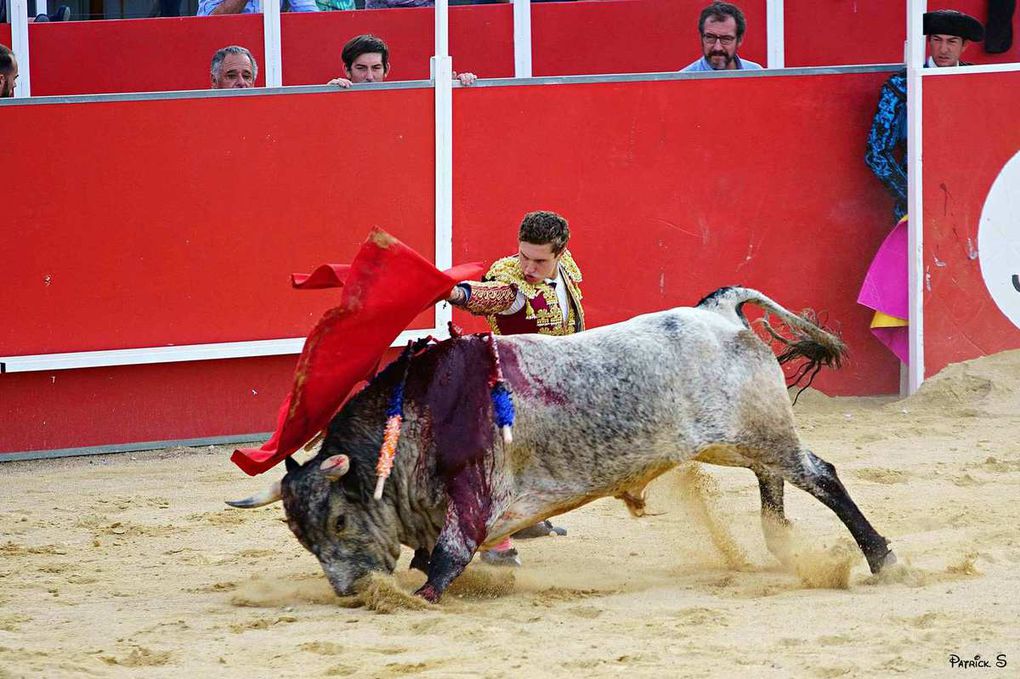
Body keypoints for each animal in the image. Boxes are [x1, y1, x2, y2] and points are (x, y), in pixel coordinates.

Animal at [229, 283, 893, 599]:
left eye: (340, 521)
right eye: (301, 534)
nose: (350, 593)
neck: (412, 417)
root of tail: (718, 311)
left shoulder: (472, 498)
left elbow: (442, 565)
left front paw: (417, 597)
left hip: (759, 432)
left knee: (821, 475)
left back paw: (882, 558)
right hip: (740, 439)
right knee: (774, 476)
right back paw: (781, 546)